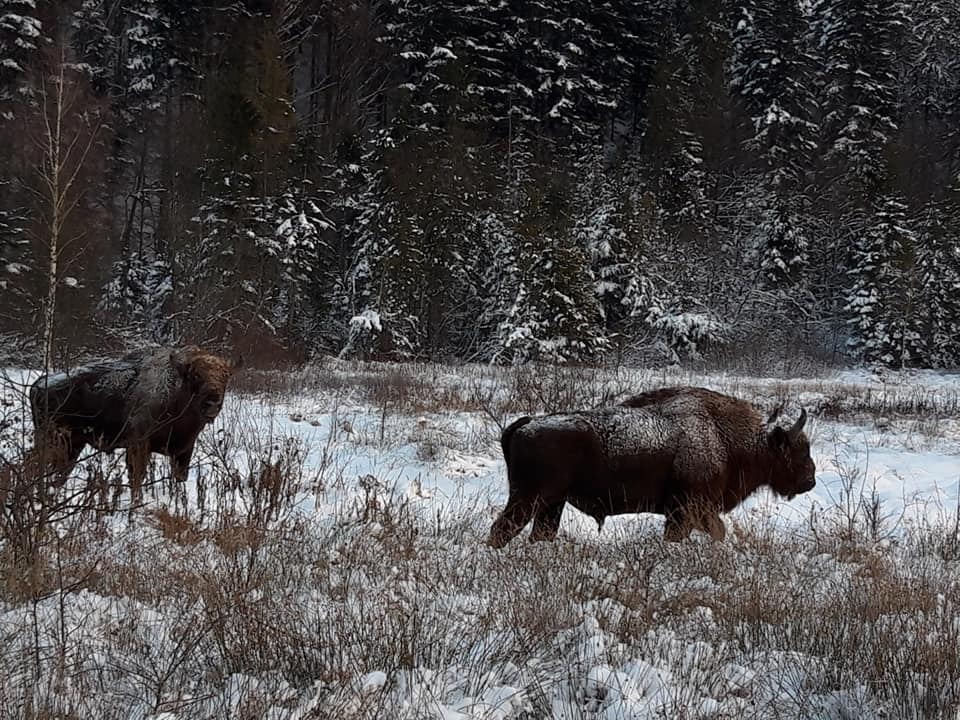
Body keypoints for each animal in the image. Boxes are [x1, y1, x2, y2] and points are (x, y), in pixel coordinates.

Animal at [26, 346, 240, 498]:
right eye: (196, 374)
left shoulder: (183, 451)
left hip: (72, 446)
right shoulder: (138, 445)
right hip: (53, 441)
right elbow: (136, 478)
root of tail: (37, 386)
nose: (212, 402)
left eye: (225, 376)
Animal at [492, 386, 812, 548]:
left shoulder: (681, 512)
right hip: (529, 499)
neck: (722, 437)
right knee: (501, 530)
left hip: (551, 504)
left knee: (539, 533)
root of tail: (526, 423)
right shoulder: (691, 508)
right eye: (797, 451)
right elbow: (715, 531)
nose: (810, 481)